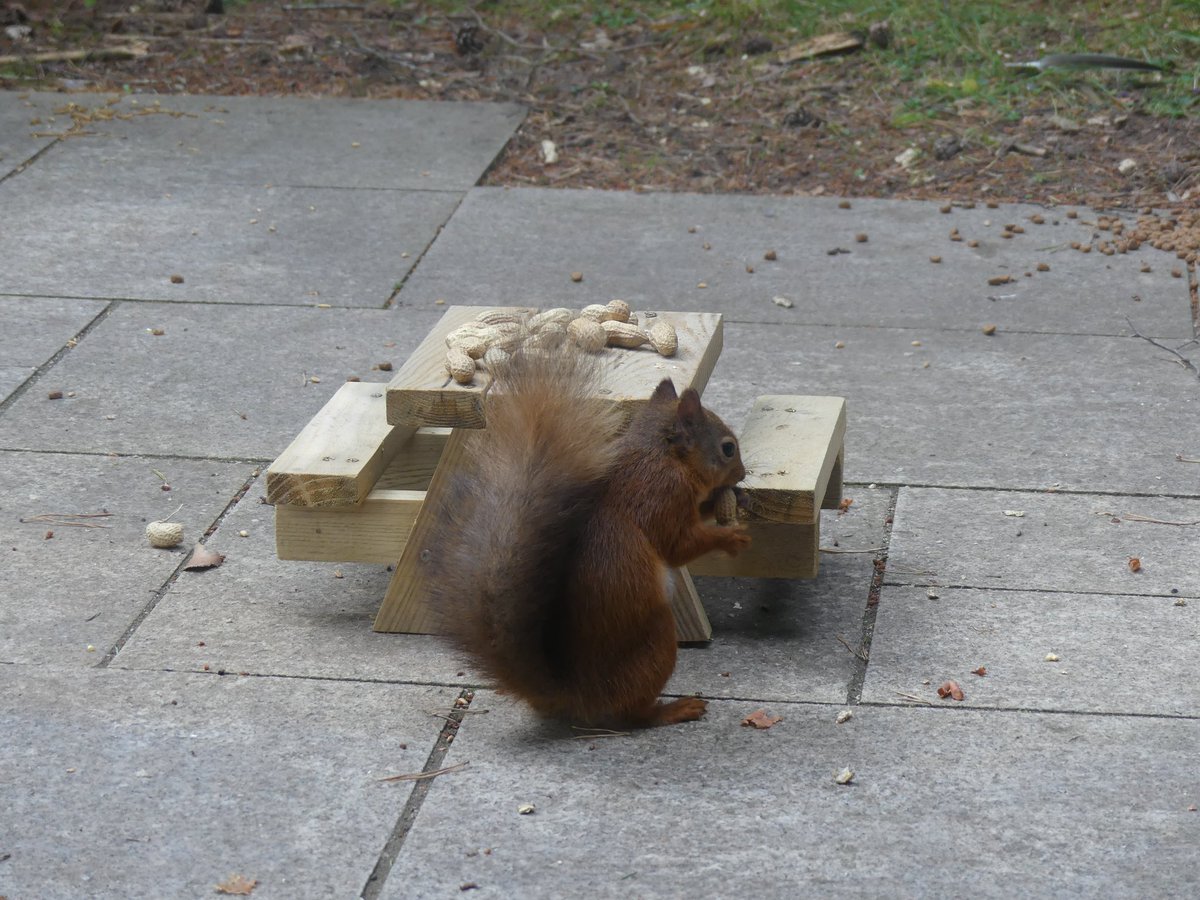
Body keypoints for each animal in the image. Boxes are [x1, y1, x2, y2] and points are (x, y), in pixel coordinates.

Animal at [417, 336, 744, 729]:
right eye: (728, 449)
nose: (743, 475)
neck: (660, 454)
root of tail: (577, 695)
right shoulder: (659, 496)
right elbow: (678, 545)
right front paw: (732, 537)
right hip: (656, 641)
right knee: (633, 712)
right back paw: (673, 710)